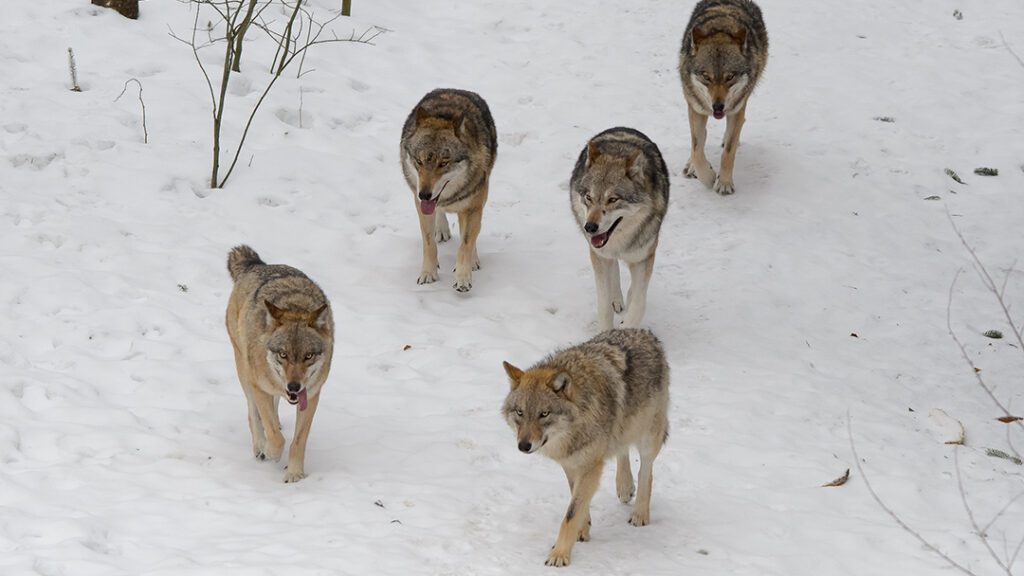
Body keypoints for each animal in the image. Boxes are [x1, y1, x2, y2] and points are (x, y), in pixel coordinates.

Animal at [225, 243, 333, 481]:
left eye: (308, 356)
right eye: (283, 354)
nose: (294, 386)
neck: (295, 307)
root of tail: (256, 265)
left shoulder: (312, 395)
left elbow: (297, 442)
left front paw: (295, 474)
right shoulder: (259, 387)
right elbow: (274, 436)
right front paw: (270, 452)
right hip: (245, 373)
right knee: (253, 415)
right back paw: (259, 446)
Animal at [399, 88, 495, 291]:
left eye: (443, 163)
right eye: (419, 161)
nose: (424, 194)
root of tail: (454, 90)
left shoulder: (472, 208)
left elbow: (466, 244)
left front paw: (463, 278)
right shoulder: (421, 205)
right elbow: (428, 243)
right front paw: (428, 274)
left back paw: (473, 260)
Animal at [501, 327, 671, 565]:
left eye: (544, 414)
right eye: (520, 412)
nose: (524, 446)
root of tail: (644, 332)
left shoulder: (590, 465)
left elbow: (571, 514)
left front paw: (559, 555)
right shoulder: (571, 464)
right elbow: (578, 501)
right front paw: (582, 531)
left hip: (648, 437)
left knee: (646, 471)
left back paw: (640, 513)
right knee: (622, 451)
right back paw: (624, 487)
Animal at [569, 126, 671, 332]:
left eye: (613, 199)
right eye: (588, 197)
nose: (590, 227)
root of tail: (622, 128)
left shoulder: (644, 257)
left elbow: (639, 303)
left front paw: (627, 326)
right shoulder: (599, 255)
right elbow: (603, 304)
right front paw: (606, 331)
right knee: (614, 267)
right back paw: (617, 299)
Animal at [679, 0, 770, 194]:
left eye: (730, 77)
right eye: (706, 76)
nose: (718, 107)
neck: (720, 28)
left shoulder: (736, 111)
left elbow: (728, 152)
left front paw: (724, 183)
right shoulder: (696, 108)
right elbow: (697, 149)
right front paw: (708, 177)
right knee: (699, 140)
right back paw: (691, 166)